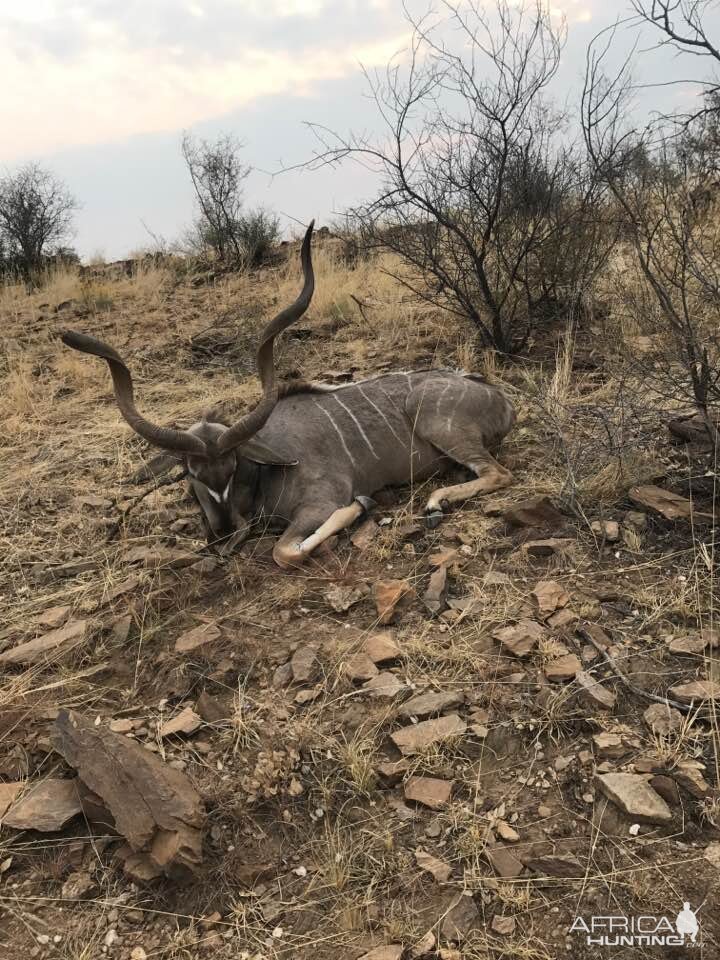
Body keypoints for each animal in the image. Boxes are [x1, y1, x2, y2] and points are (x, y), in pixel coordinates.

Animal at [60, 223, 512, 568]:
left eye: (234, 466)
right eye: (190, 473)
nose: (224, 532)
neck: (265, 472)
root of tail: (499, 398)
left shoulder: (320, 501)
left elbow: (285, 551)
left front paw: (362, 505)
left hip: (436, 421)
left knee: (497, 474)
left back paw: (435, 503)